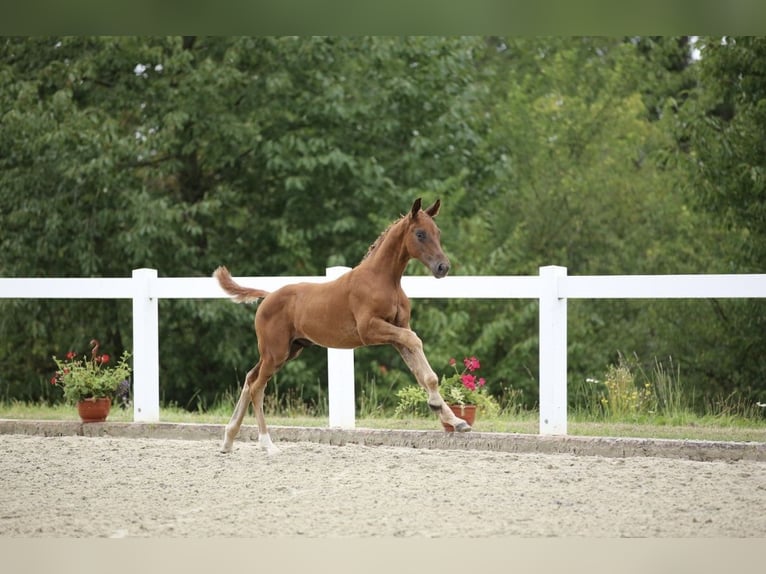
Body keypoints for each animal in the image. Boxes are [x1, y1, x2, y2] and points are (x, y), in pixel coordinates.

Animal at [214, 198, 471, 454]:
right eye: (420, 234)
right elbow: (416, 341)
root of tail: (267, 296)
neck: (383, 280)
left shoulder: (398, 332)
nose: (443, 267)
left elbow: (422, 372)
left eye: (438, 233)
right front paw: (437, 405)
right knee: (257, 387)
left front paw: (456, 420)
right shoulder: (370, 329)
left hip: (287, 350)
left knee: (249, 378)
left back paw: (228, 440)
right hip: (275, 353)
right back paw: (267, 444)